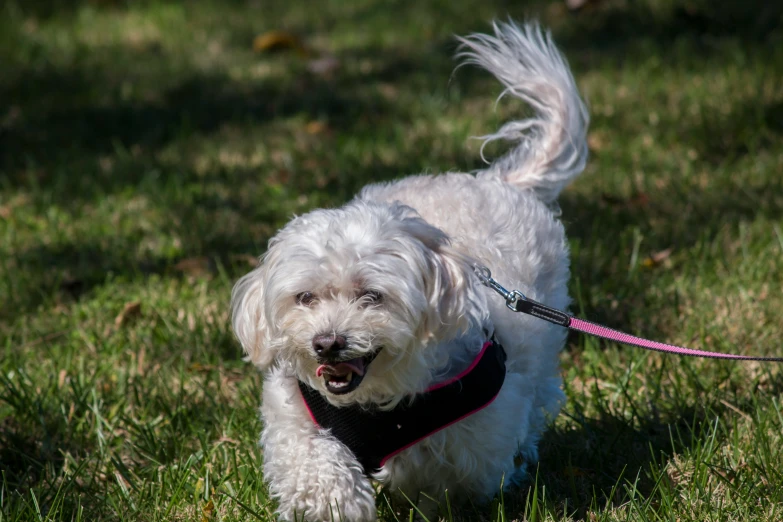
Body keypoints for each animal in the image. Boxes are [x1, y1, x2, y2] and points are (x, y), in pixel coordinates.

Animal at [233, 21, 588, 520]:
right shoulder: (296, 413)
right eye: (305, 297)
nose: (326, 343)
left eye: (371, 295)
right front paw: (335, 500)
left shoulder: (476, 438)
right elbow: (314, 461)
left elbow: (442, 478)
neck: (375, 402)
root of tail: (495, 180)